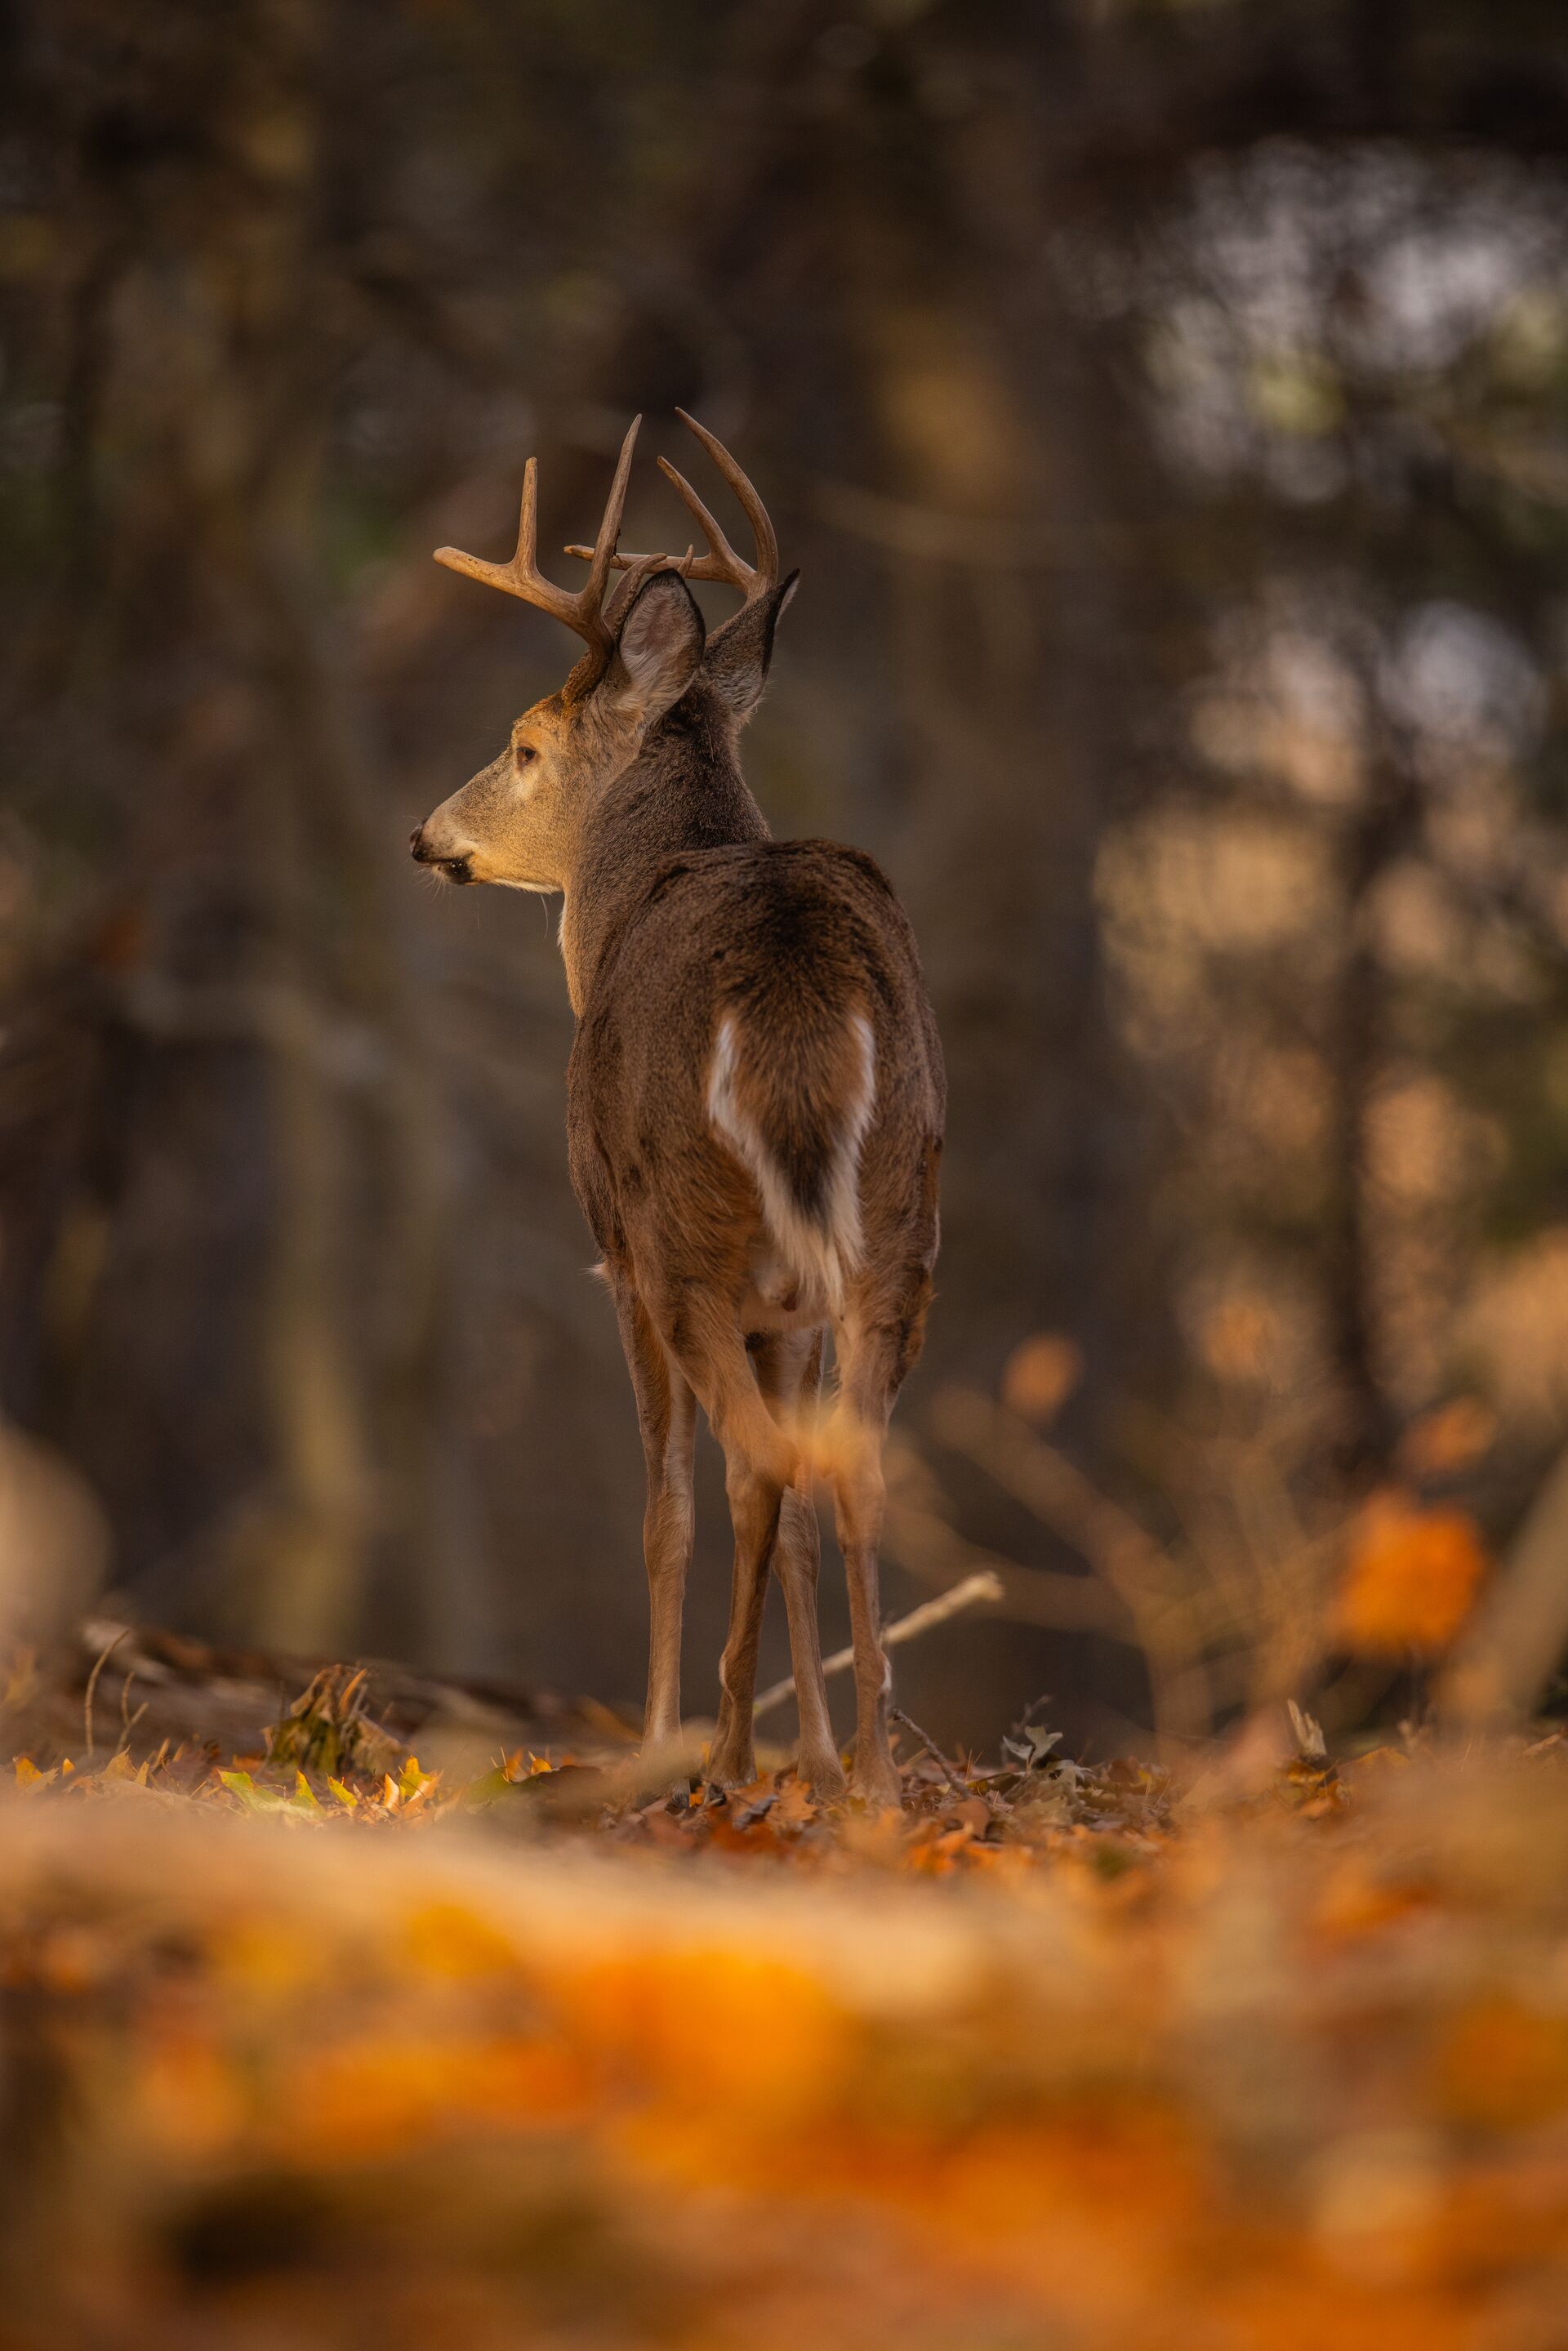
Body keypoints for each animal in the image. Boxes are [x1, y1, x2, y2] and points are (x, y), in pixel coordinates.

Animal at [411, 414, 943, 1805]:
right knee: (845, 1465)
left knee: (745, 1465)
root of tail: (794, 981)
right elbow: (803, 1516)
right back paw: (866, 1772)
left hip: (681, 1226)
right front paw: (818, 1750)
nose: (425, 835)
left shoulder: (613, 1245)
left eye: (525, 743)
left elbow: (666, 1508)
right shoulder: (790, 1303)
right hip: (896, 1228)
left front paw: (658, 1734)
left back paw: (721, 1753)